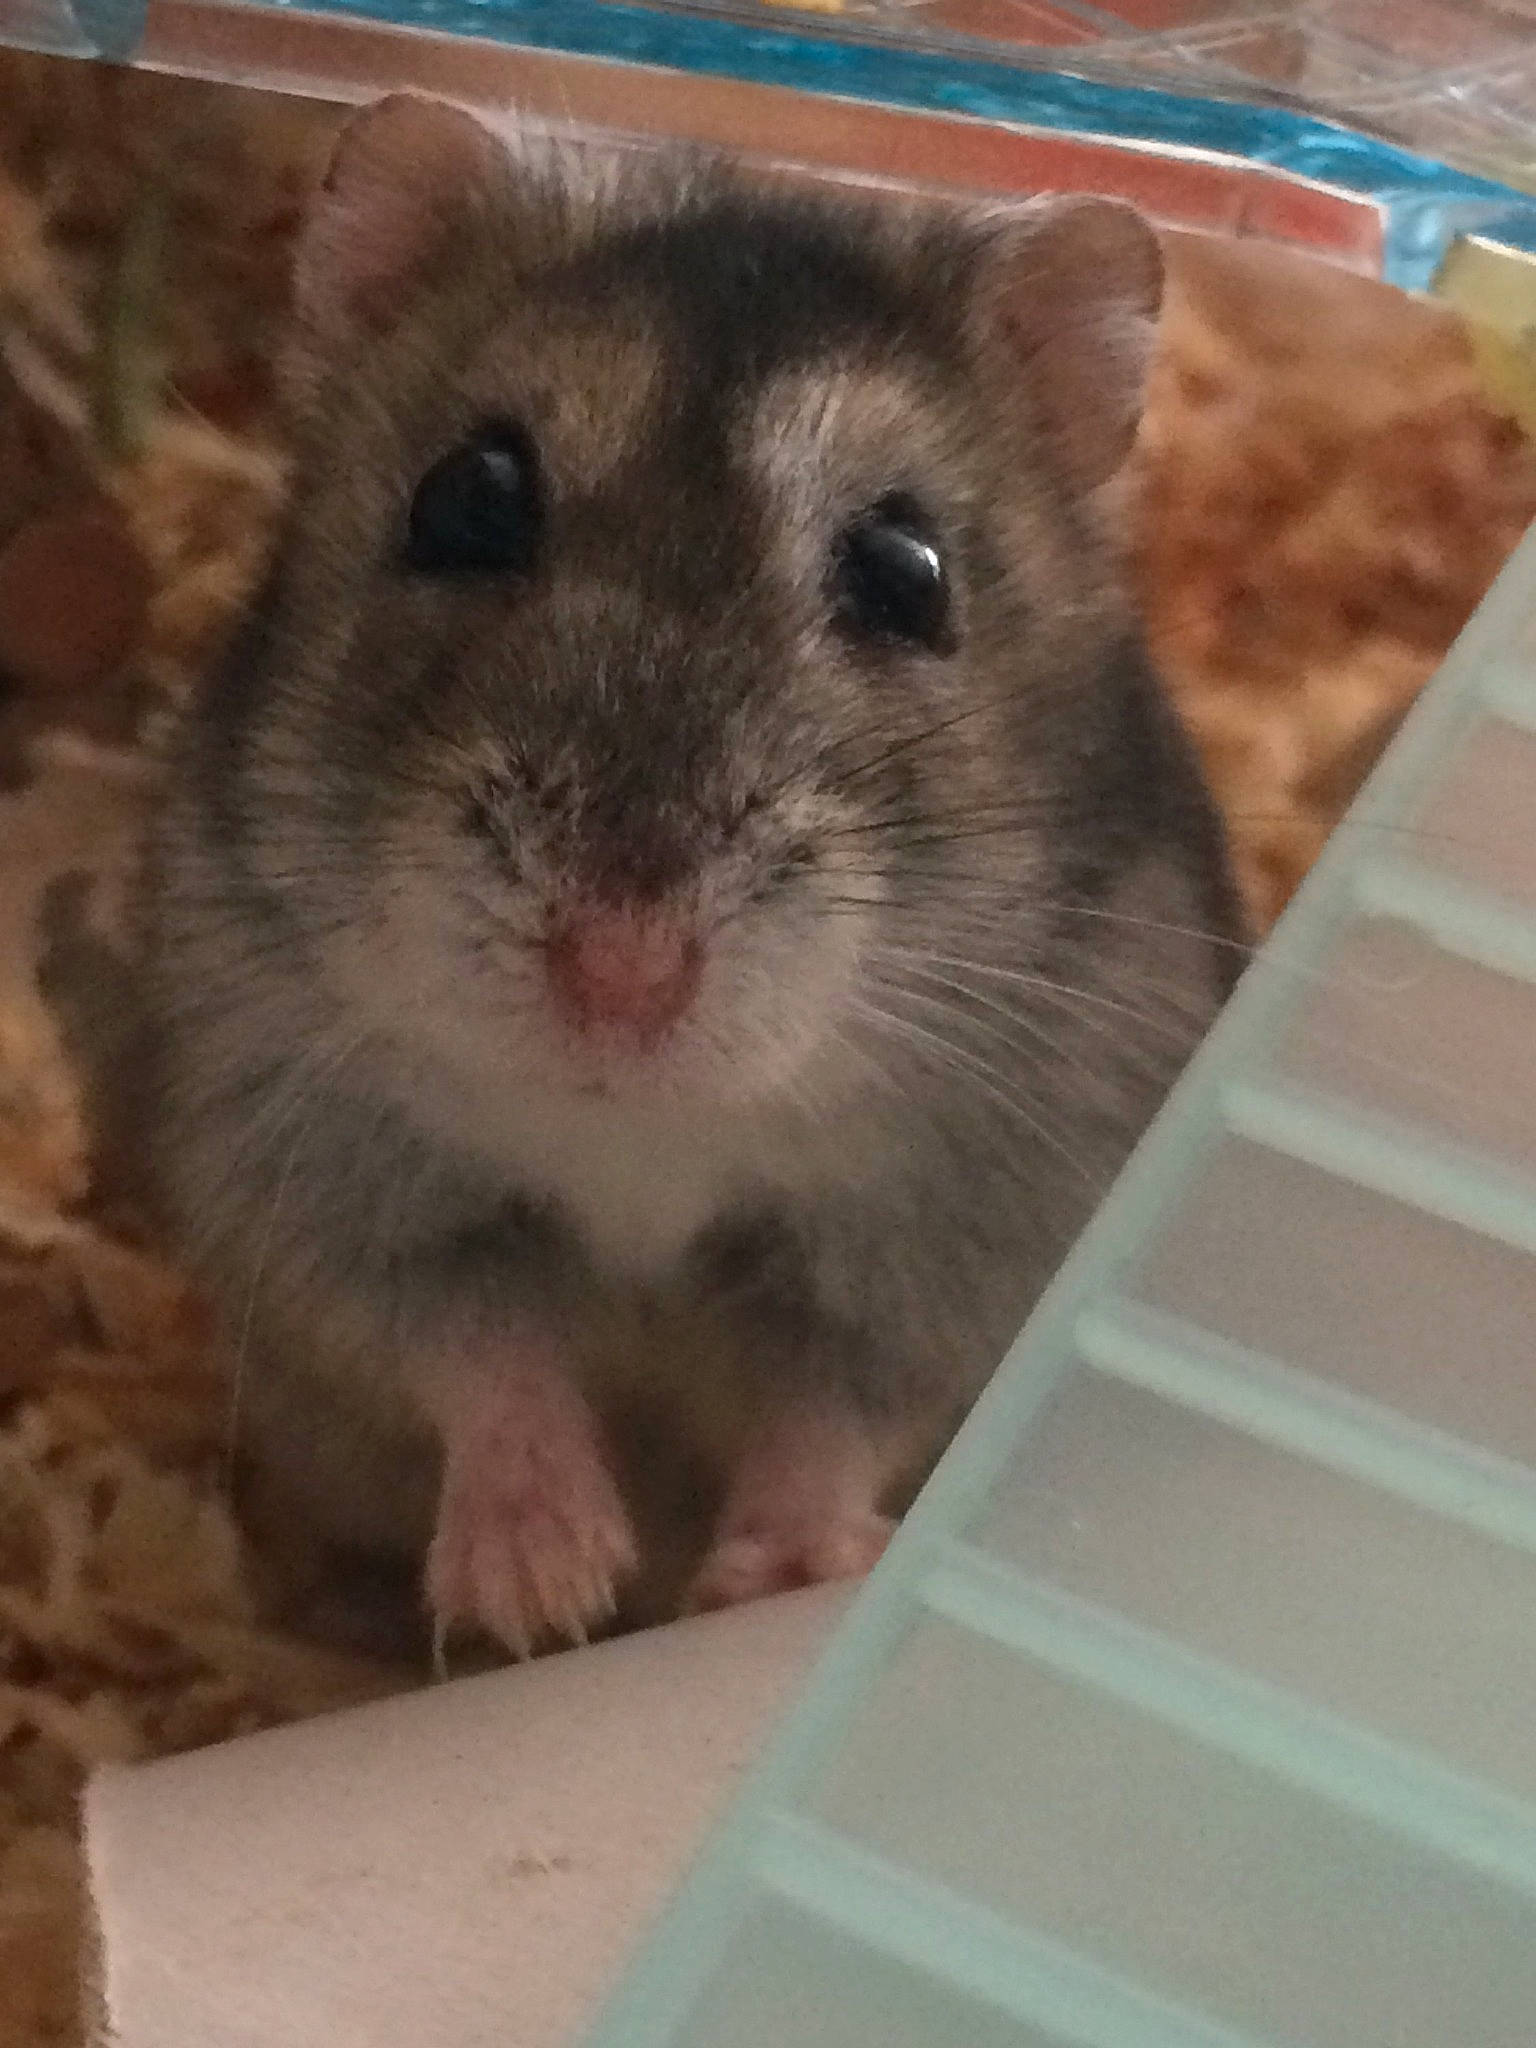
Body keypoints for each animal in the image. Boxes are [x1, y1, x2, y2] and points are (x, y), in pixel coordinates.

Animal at [137, 94, 1243, 1661]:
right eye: (465, 500)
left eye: (909, 570)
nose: (620, 971)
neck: (644, 1131)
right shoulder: (327, 1170)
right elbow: (475, 1347)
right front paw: (544, 1588)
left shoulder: (974, 1222)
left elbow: (838, 1404)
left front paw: (776, 1572)